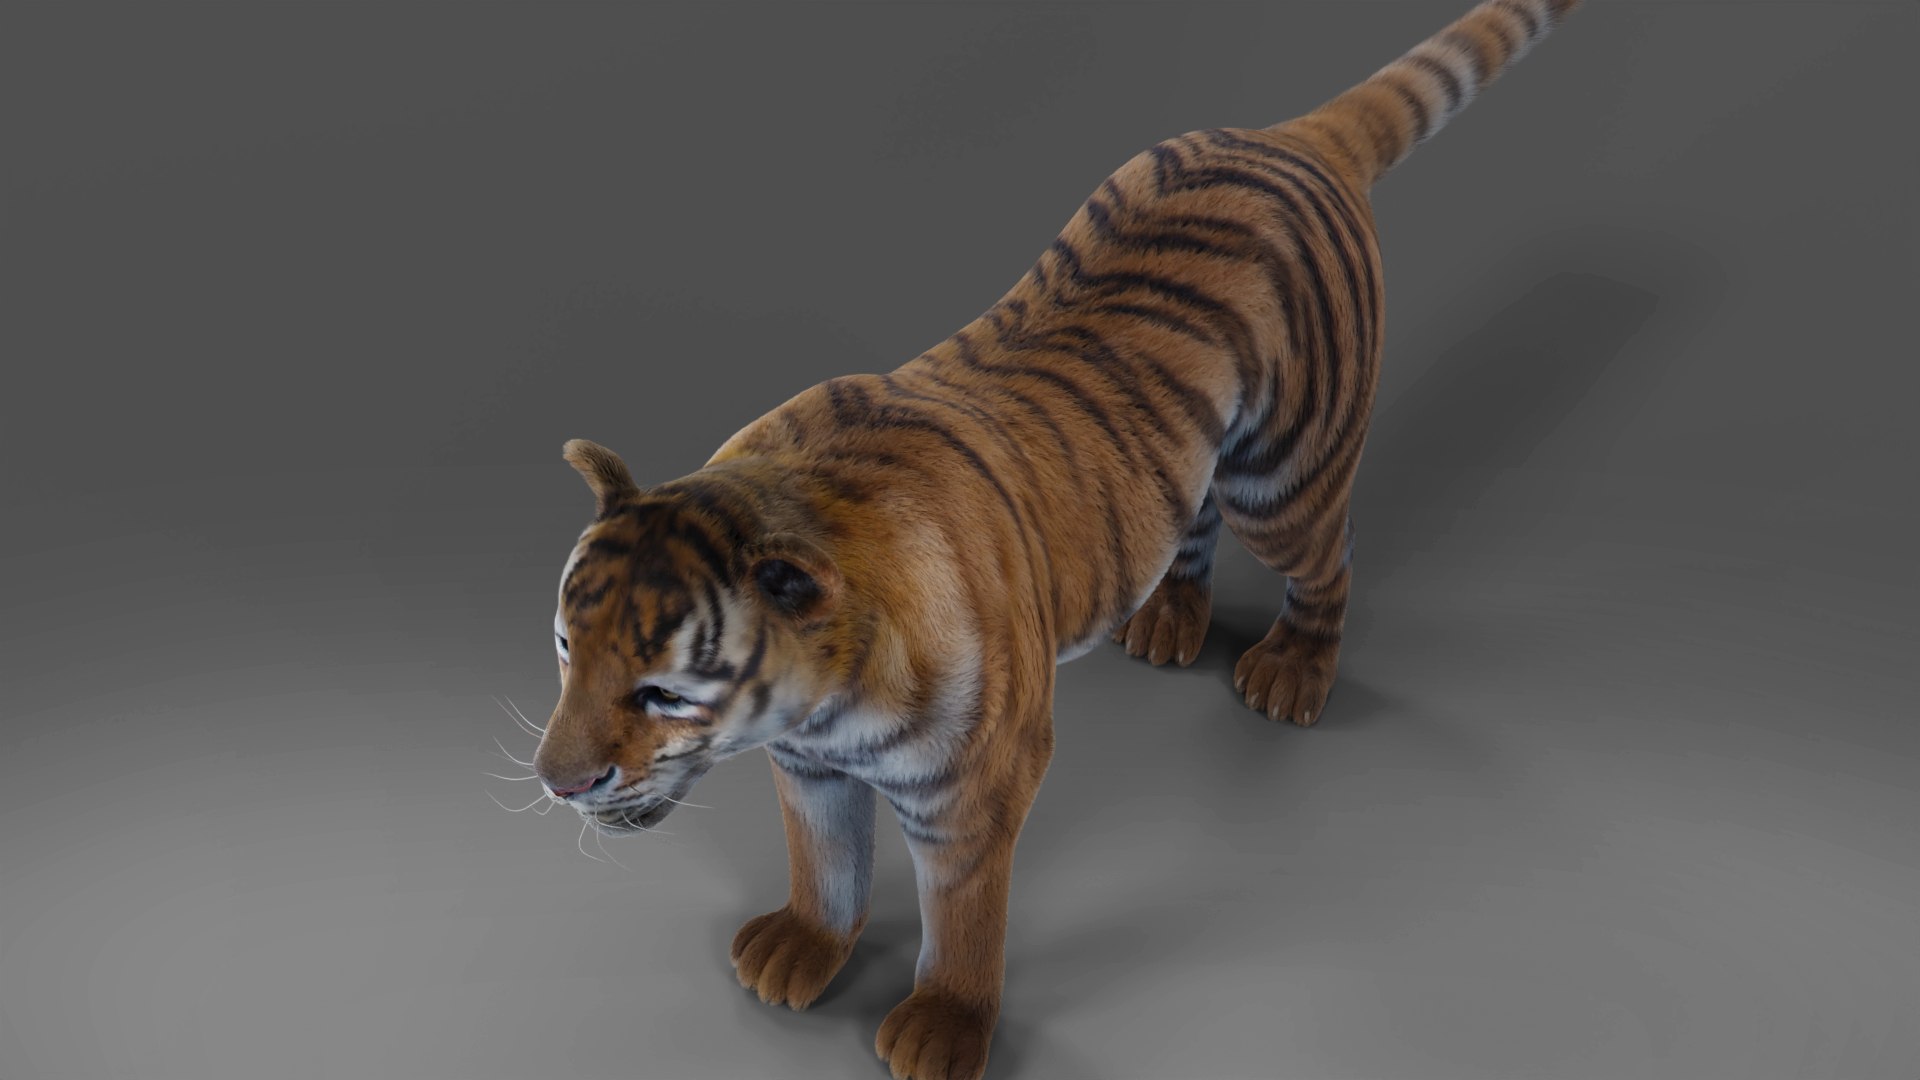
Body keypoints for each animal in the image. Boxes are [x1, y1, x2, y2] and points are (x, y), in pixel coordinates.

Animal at [529, 1, 1583, 1077]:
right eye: (566, 649)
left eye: (661, 693)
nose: (556, 783)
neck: (816, 700)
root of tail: (1288, 135)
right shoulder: (811, 770)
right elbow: (825, 863)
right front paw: (802, 949)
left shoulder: (976, 786)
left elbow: (963, 918)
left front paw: (943, 1028)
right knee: (1191, 519)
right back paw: (1167, 621)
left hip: (1285, 476)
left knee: (1330, 555)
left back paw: (1293, 671)